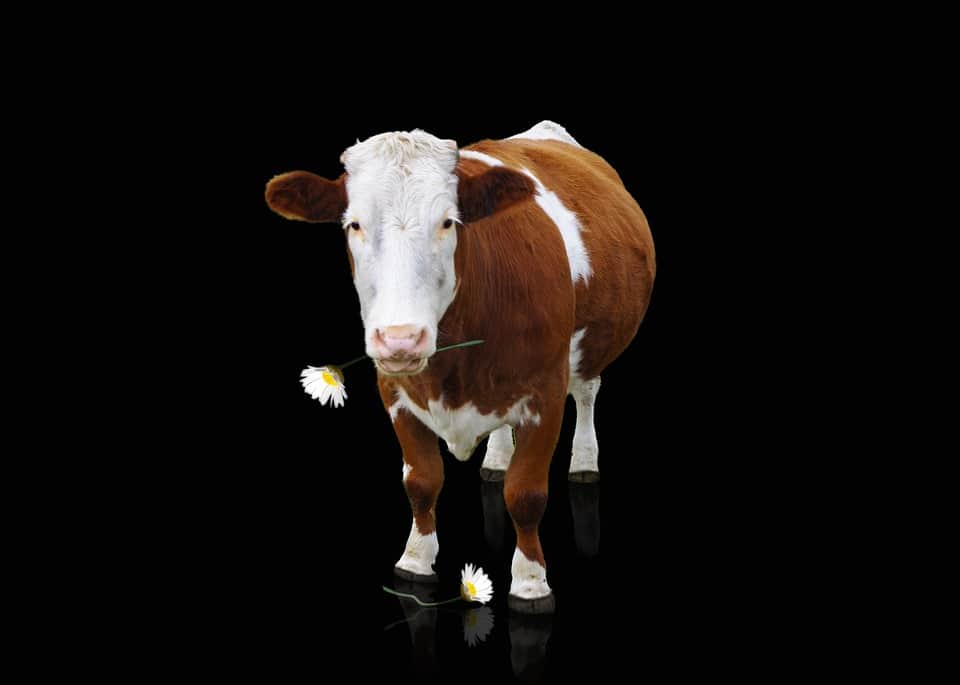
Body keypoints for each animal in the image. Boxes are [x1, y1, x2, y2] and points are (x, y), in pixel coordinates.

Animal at [265, 121, 655, 613]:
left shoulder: (546, 392)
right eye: (353, 224)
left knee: (587, 392)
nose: (401, 338)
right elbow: (421, 481)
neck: (451, 370)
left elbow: (526, 494)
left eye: (448, 222)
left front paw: (531, 582)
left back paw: (584, 461)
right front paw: (415, 560)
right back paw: (497, 460)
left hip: (590, 346)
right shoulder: (393, 391)